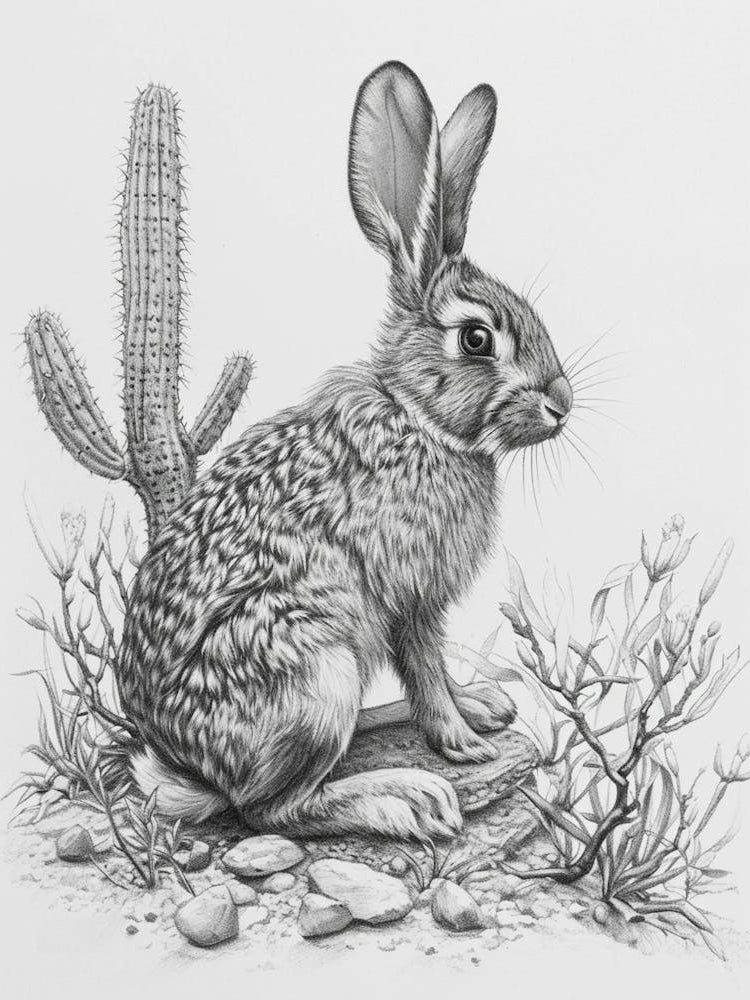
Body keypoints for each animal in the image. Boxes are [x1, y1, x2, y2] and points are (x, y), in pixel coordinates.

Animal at [120, 60, 573, 841]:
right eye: (477, 338)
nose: (562, 403)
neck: (419, 418)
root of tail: (187, 766)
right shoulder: (409, 594)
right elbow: (423, 668)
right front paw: (462, 742)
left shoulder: (418, 606)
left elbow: (432, 667)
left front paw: (476, 710)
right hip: (316, 675)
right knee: (270, 810)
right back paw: (404, 798)